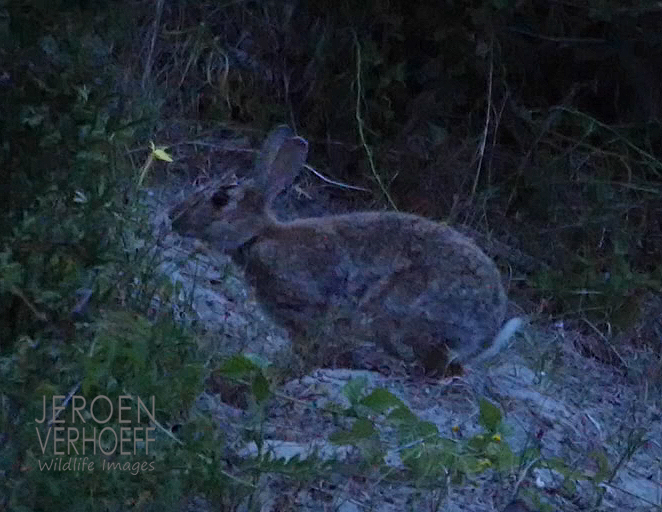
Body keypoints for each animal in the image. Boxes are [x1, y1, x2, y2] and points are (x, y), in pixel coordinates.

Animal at [171, 124, 524, 372]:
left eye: (220, 199)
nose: (175, 219)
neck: (259, 236)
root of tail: (486, 333)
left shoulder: (307, 304)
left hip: (403, 313)